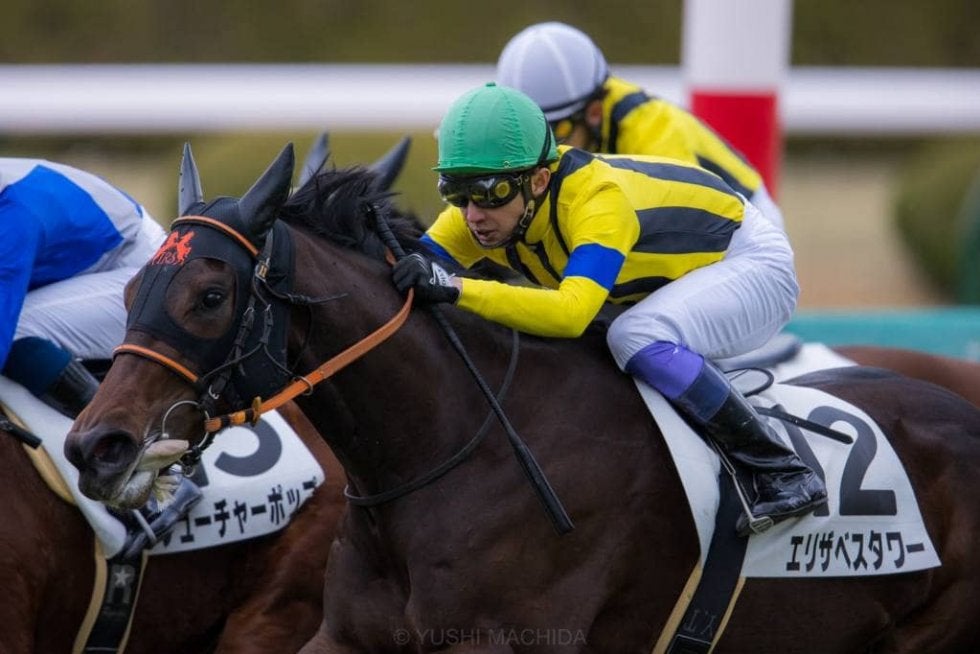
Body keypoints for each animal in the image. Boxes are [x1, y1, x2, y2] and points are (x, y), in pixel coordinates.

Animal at [64, 143, 980, 653]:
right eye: (133, 285)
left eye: (210, 297)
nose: (95, 445)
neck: (453, 449)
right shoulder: (342, 636)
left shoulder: (502, 642)